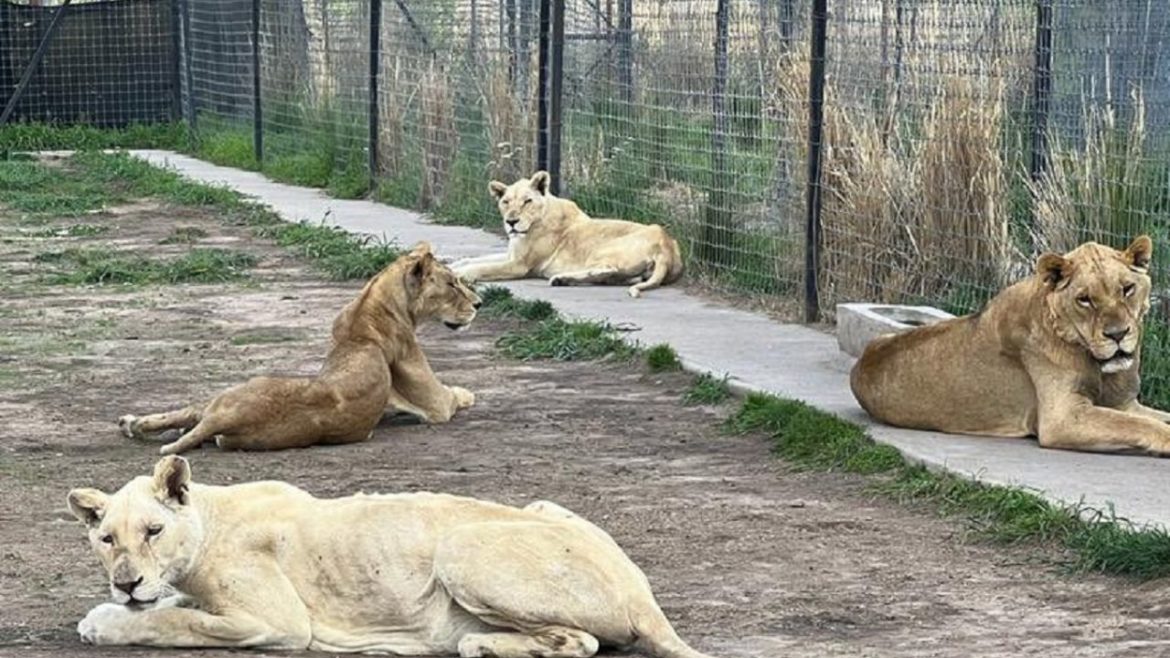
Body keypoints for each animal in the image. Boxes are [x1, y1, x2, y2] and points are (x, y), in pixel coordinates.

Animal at [70, 456, 720, 655]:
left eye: (153, 530)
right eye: (106, 540)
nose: (125, 583)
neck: (208, 518)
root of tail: (644, 595)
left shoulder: (278, 622)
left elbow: (177, 621)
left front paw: (105, 621)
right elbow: (173, 605)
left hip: (460, 548)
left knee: (580, 641)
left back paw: (475, 644)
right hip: (542, 506)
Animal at [117, 242, 479, 456]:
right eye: (452, 283)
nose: (479, 303)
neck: (367, 311)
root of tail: (227, 417)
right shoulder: (435, 404)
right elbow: (457, 394)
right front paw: (468, 393)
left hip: (226, 406)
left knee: (192, 415)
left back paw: (135, 424)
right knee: (194, 411)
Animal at [449, 172, 683, 299]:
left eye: (527, 201)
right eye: (505, 202)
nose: (511, 222)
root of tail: (666, 245)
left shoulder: (519, 265)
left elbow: (481, 267)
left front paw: (459, 275)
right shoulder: (511, 255)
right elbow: (472, 259)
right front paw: (450, 266)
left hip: (603, 250)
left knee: (609, 270)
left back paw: (560, 278)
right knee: (621, 277)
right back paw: (563, 280)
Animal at [851, 235, 1170, 456]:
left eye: (1127, 289)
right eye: (1084, 299)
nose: (1118, 334)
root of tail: (860, 362)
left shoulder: (1124, 404)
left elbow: (1154, 419)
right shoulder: (1062, 417)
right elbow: (1139, 425)